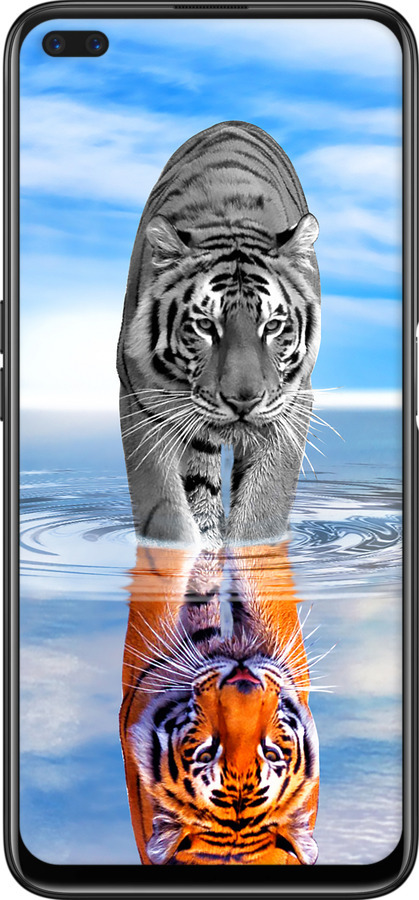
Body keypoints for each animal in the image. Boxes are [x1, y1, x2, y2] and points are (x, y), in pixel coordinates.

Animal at [117, 120, 321, 548]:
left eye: (272, 326)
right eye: (205, 326)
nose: (243, 401)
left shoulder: (292, 404)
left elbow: (263, 508)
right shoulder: (141, 401)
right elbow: (165, 511)